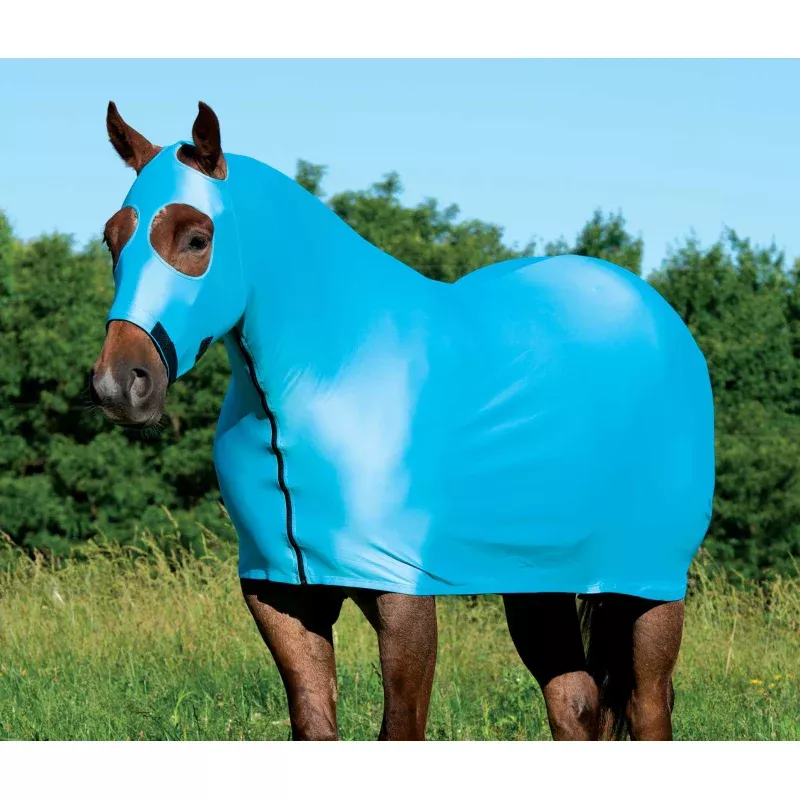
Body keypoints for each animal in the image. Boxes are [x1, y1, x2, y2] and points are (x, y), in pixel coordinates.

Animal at [90, 101, 714, 741]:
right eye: (112, 239)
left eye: (196, 238)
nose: (119, 385)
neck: (332, 372)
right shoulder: (279, 595)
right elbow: (314, 725)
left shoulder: (403, 598)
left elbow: (401, 725)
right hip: (539, 583)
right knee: (576, 703)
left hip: (649, 587)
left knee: (648, 704)